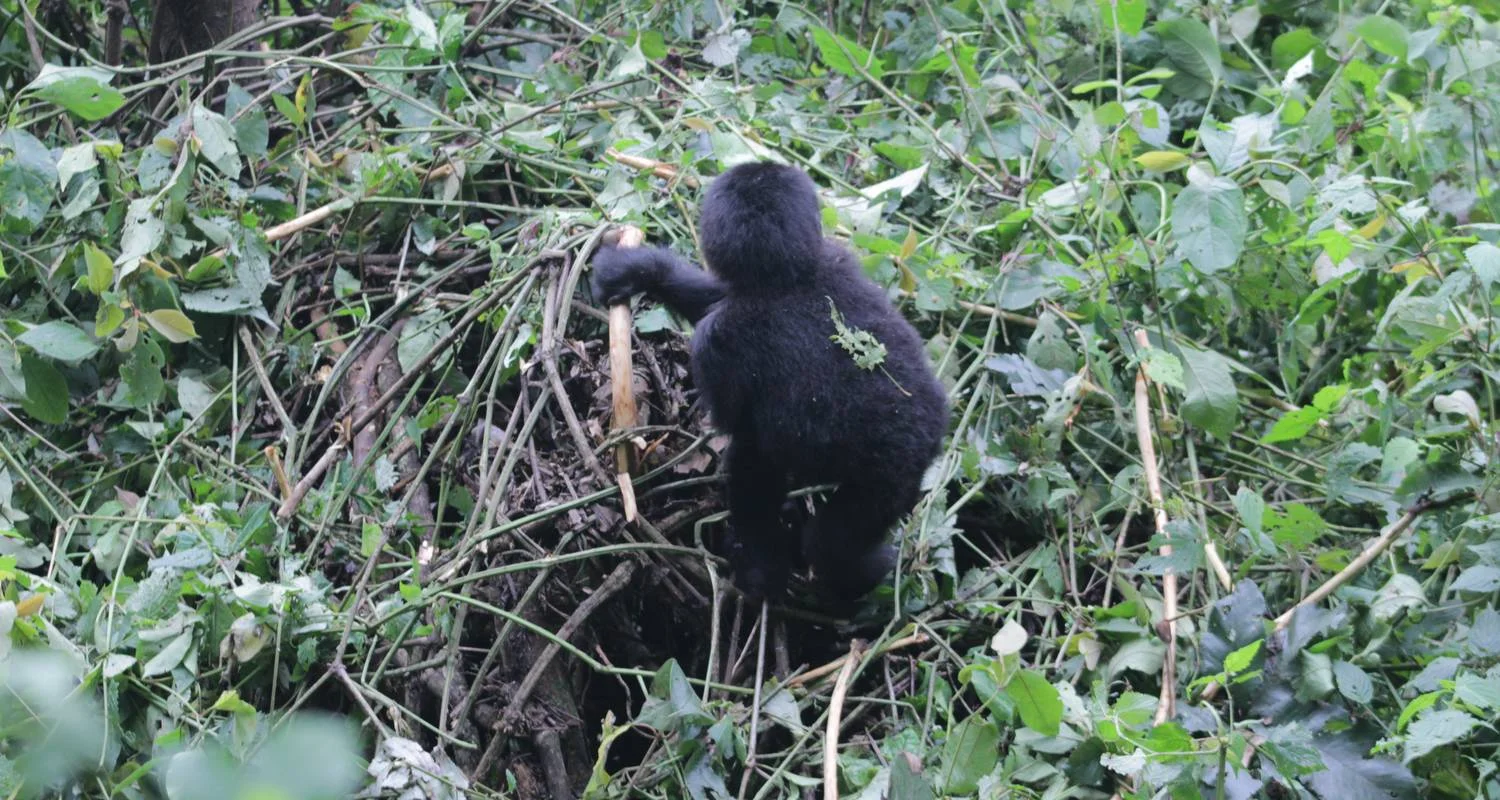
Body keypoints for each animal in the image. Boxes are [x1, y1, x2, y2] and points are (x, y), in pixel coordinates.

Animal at [592, 161, 948, 602]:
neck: (787, 281)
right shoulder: (837, 256)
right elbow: (713, 294)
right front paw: (640, 269)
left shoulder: (717, 342)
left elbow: (742, 437)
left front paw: (759, 563)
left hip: (883, 483)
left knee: (824, 536)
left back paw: (846, 574)